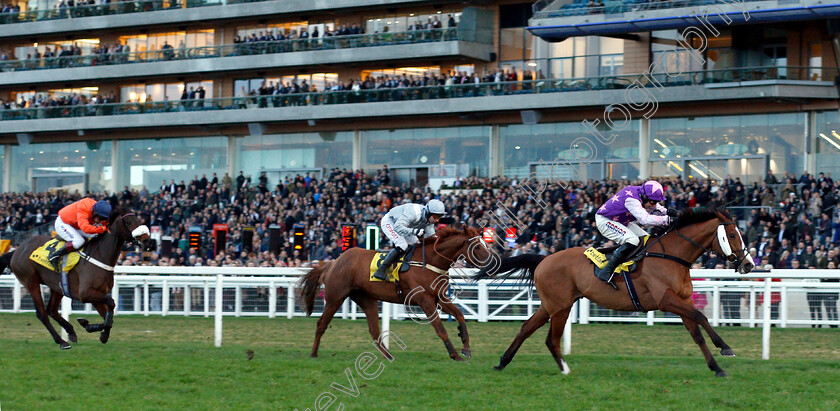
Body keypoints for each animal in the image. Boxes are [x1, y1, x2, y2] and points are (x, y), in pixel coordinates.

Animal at [0, 208, 154, 350]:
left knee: (51, 310)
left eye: (139, 220)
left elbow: (108, 316)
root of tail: (16, 250)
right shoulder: (85, 293)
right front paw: (98, 330)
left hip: (57, 286)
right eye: (128, 222)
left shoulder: (97, 295)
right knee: (42, 313)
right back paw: (62, 342)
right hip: (31, 282)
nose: (148, 240)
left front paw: (93, 328)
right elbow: (111, 303)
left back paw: (71, 332)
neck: (99, 256)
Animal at [298, 227, 492, 362]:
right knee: (321, 324)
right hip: (335, 297)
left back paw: (389, 356)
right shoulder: (424, 300)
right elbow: (440, 328)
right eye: (477, 247)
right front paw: (454, 354)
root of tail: (333, 262)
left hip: (367, 299)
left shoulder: (440, 298)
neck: (429, 262)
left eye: (484, 244)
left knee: (374, 331)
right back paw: (313, 353)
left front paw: (466, 347)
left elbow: (460, 315)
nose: (492, 262)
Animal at [476, 211, 756, 378]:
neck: (671, 256)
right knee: (551, 339)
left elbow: (696, 332)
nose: (748, 264)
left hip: (551, 305)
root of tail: (544, 259)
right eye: (732, 234)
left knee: (526, 328)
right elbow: (702, 317)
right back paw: (564, 369)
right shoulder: (666, 299)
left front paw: (716, 367)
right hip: (561, 306)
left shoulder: (681, 300)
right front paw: (725, 347)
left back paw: (503, 362)